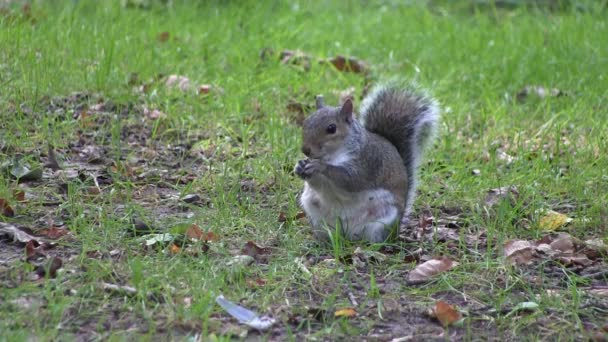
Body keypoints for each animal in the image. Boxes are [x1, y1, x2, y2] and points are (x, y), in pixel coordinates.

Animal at [294, 82, 436, 243]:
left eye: (331, 128)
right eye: (306, 122)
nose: (305, 150)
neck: (332, 155)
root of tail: (348, 235)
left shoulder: (368, 161)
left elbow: (351, 179)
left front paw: (320, 166)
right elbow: (317, 184)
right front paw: (299, 166)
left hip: (383, 220)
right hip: (316, 216)